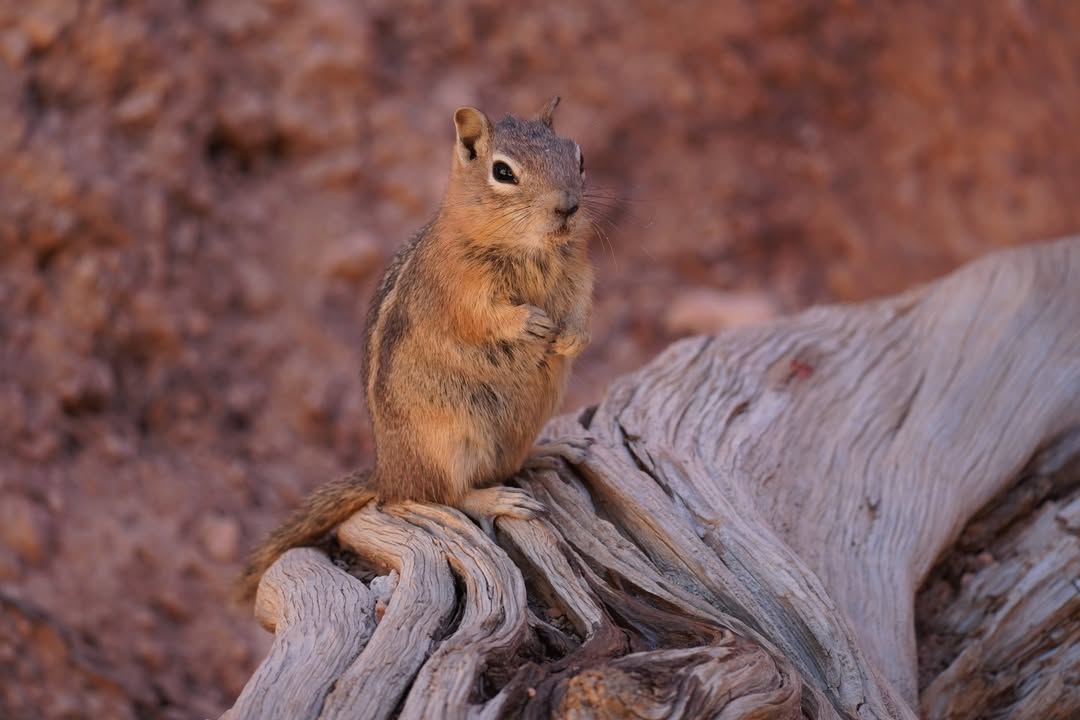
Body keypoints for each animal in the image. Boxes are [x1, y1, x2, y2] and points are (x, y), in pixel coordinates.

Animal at [238, 97, 594, 601]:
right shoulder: (461, 288)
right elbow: (486, 316)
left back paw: (551, 450)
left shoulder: (580, 270)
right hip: (450, 441)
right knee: (443, 494)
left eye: (578, 157)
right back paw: (500, 497)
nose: (568, 206)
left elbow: (582, 303)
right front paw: (532, 322)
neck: (528, 248)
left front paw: (571, 337)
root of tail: (388, 472)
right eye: (503, 172)